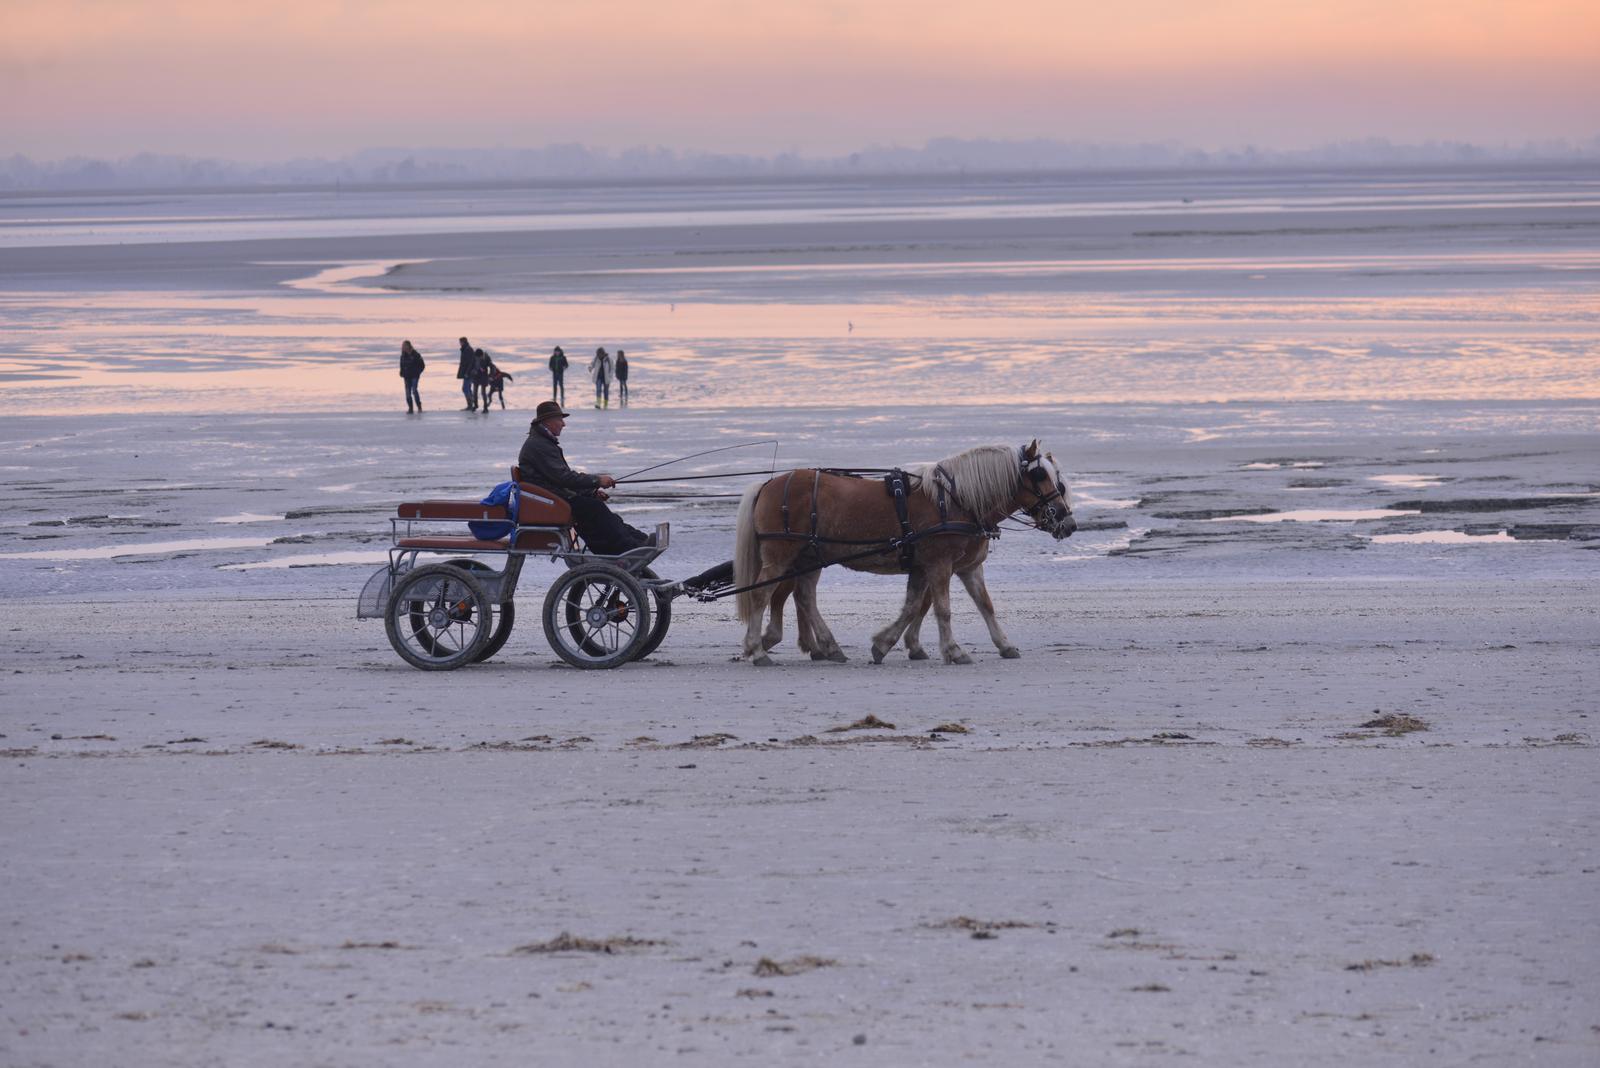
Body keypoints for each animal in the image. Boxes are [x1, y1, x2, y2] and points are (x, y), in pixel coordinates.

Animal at [732, 441, 1075, 666]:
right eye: (1040, 476)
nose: (1066, 520)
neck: (956, 501)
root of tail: (768, 484)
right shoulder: (939, 564)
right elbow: (941, 608)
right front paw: (952, 650)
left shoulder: (959, 568)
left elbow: (972, 606)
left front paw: (1004, 645)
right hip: (780, 556)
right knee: (762, 595)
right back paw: (758, 649)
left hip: (810, 557)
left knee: (804, 597)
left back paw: (828, 647)